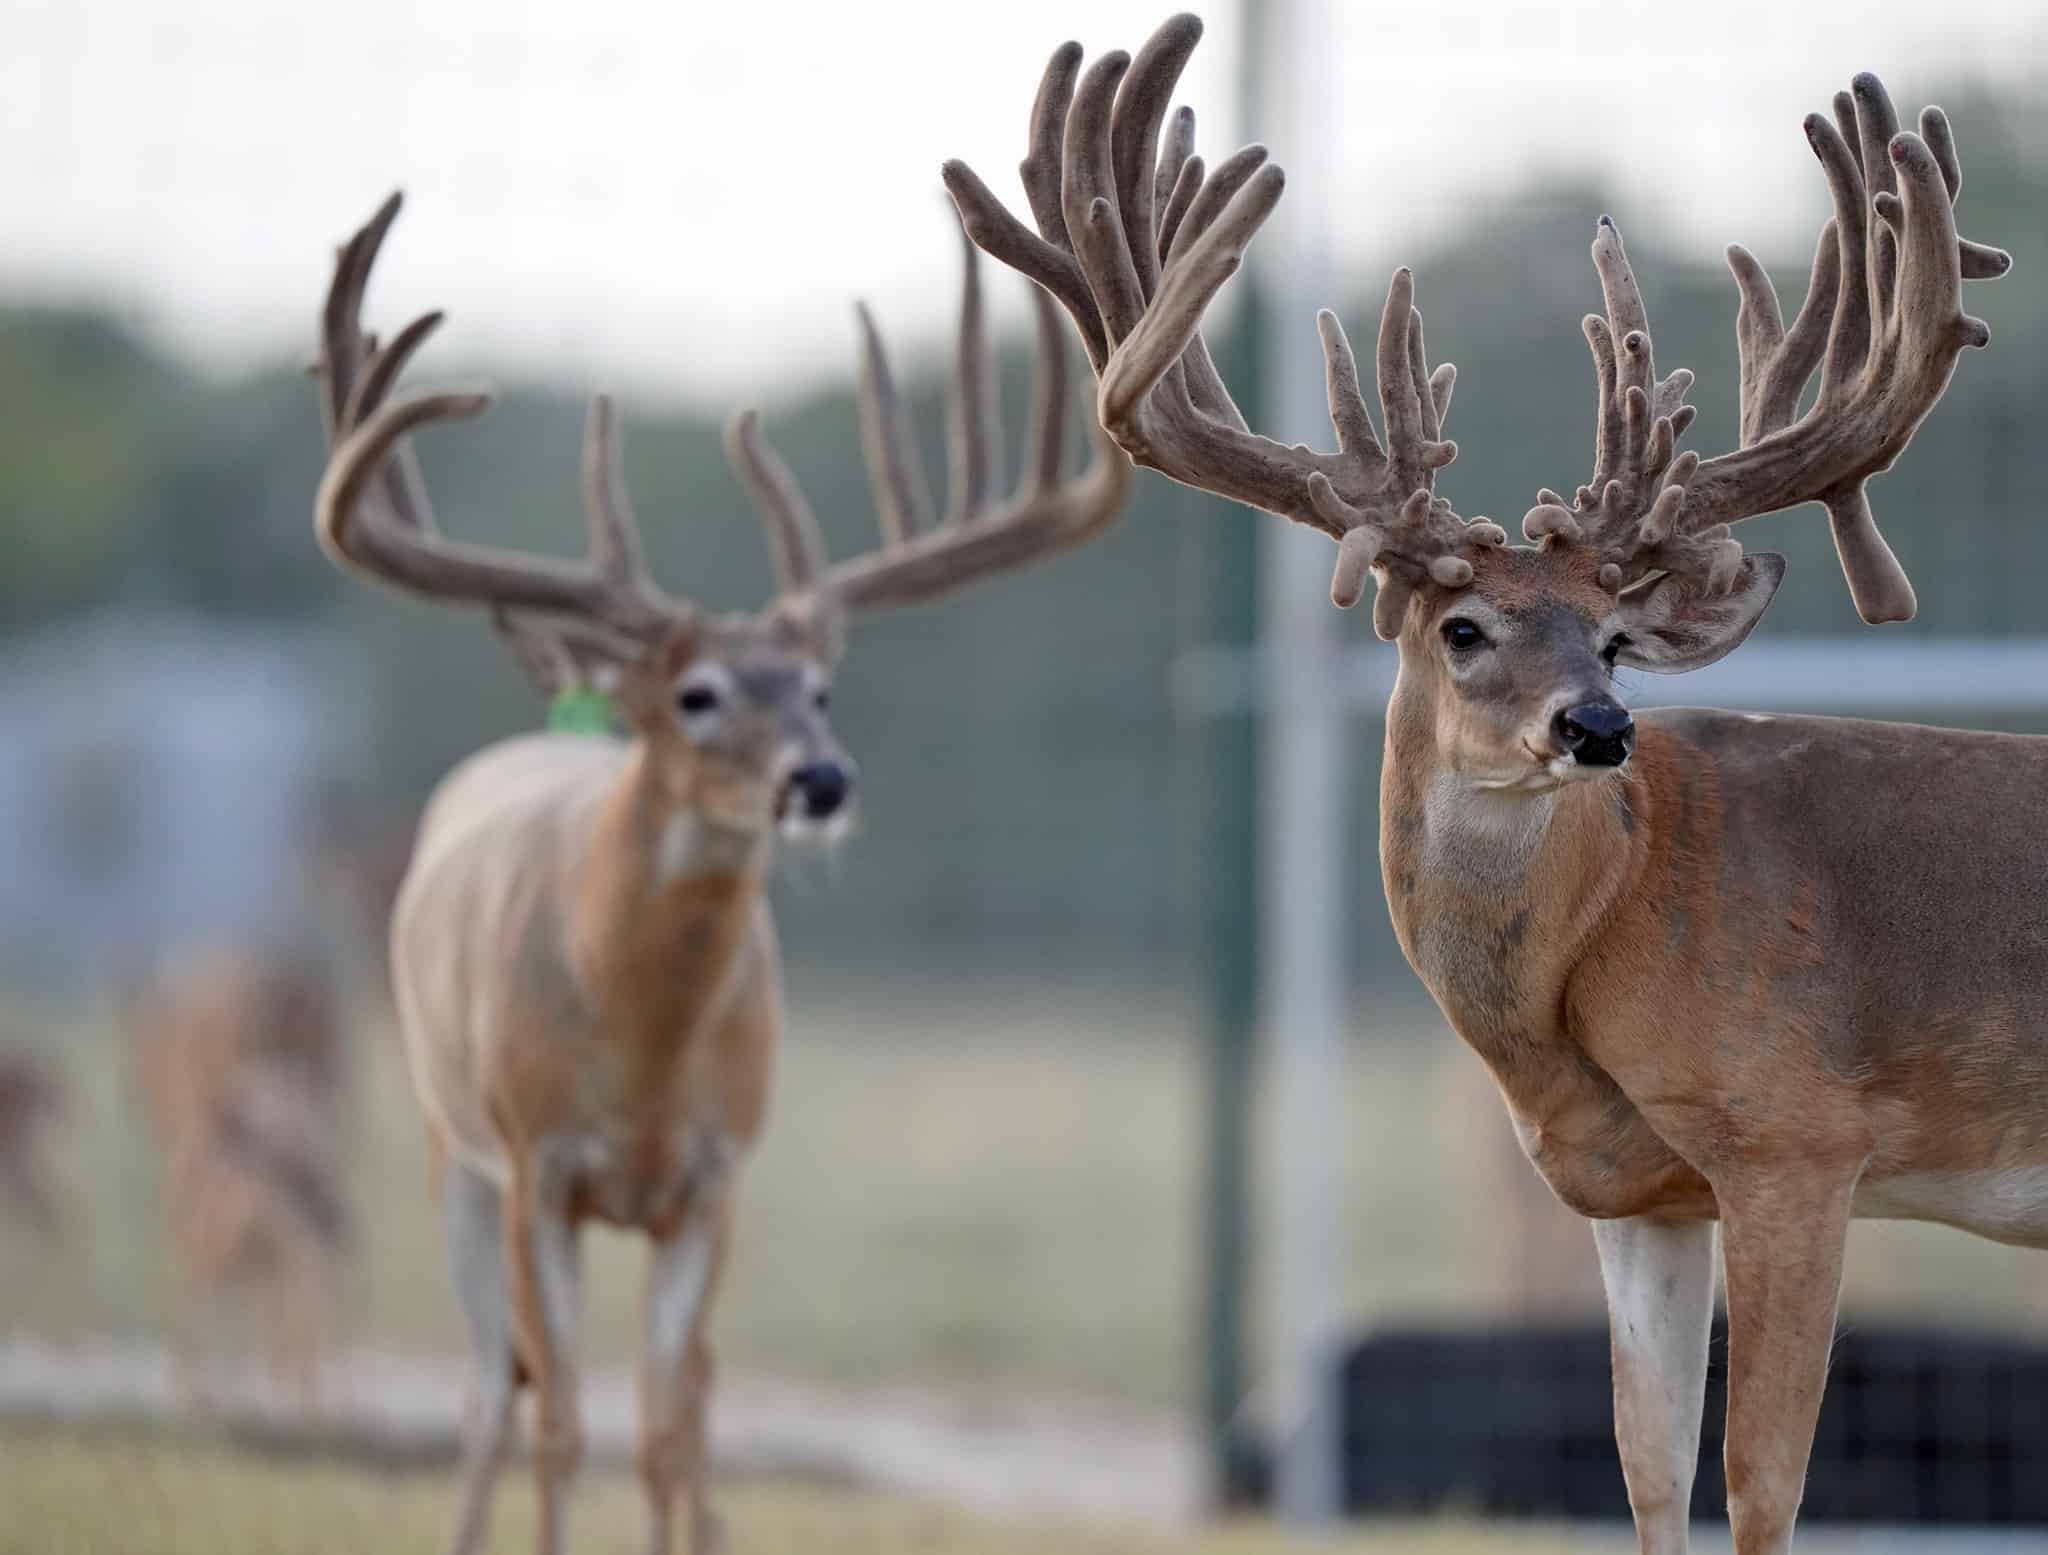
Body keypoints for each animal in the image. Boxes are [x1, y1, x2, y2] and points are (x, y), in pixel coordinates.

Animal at [311, 190, 1128, 1555]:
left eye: (819, 689)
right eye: (693, 694)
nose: (823, 781)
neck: (640, 1044)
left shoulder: (713, 1177)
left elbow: (661, 1427)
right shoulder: (538, 1162)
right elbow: (561, 1423)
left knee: (687, 1399)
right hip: (448, 1143)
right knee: (487, 1390)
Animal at [943, 14, 2018, 1552]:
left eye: (1614, 635)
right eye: (1462, 627)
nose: (1599, 724)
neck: (1612, 929)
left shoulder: (1799, 1140)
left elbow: (1760, 1489)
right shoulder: (1641, 1195)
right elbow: (1647, 1472)